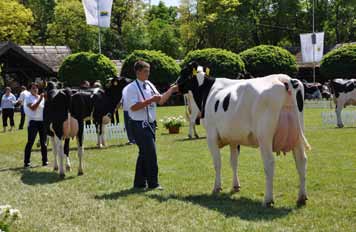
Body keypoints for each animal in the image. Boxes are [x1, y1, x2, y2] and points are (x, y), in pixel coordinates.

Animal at [177, 61, 310, 207]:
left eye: (183, 72)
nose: (175, 84)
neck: (208, 91)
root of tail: (284, 78)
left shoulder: (211, 135)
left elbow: (217, 162)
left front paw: (217, 187)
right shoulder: (234, 139)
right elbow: (234, 161)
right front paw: (235, 186)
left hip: (265, 137)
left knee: (269, 163)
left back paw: (268, 199)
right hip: (297, 135)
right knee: (301, 161)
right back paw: (302, 197)